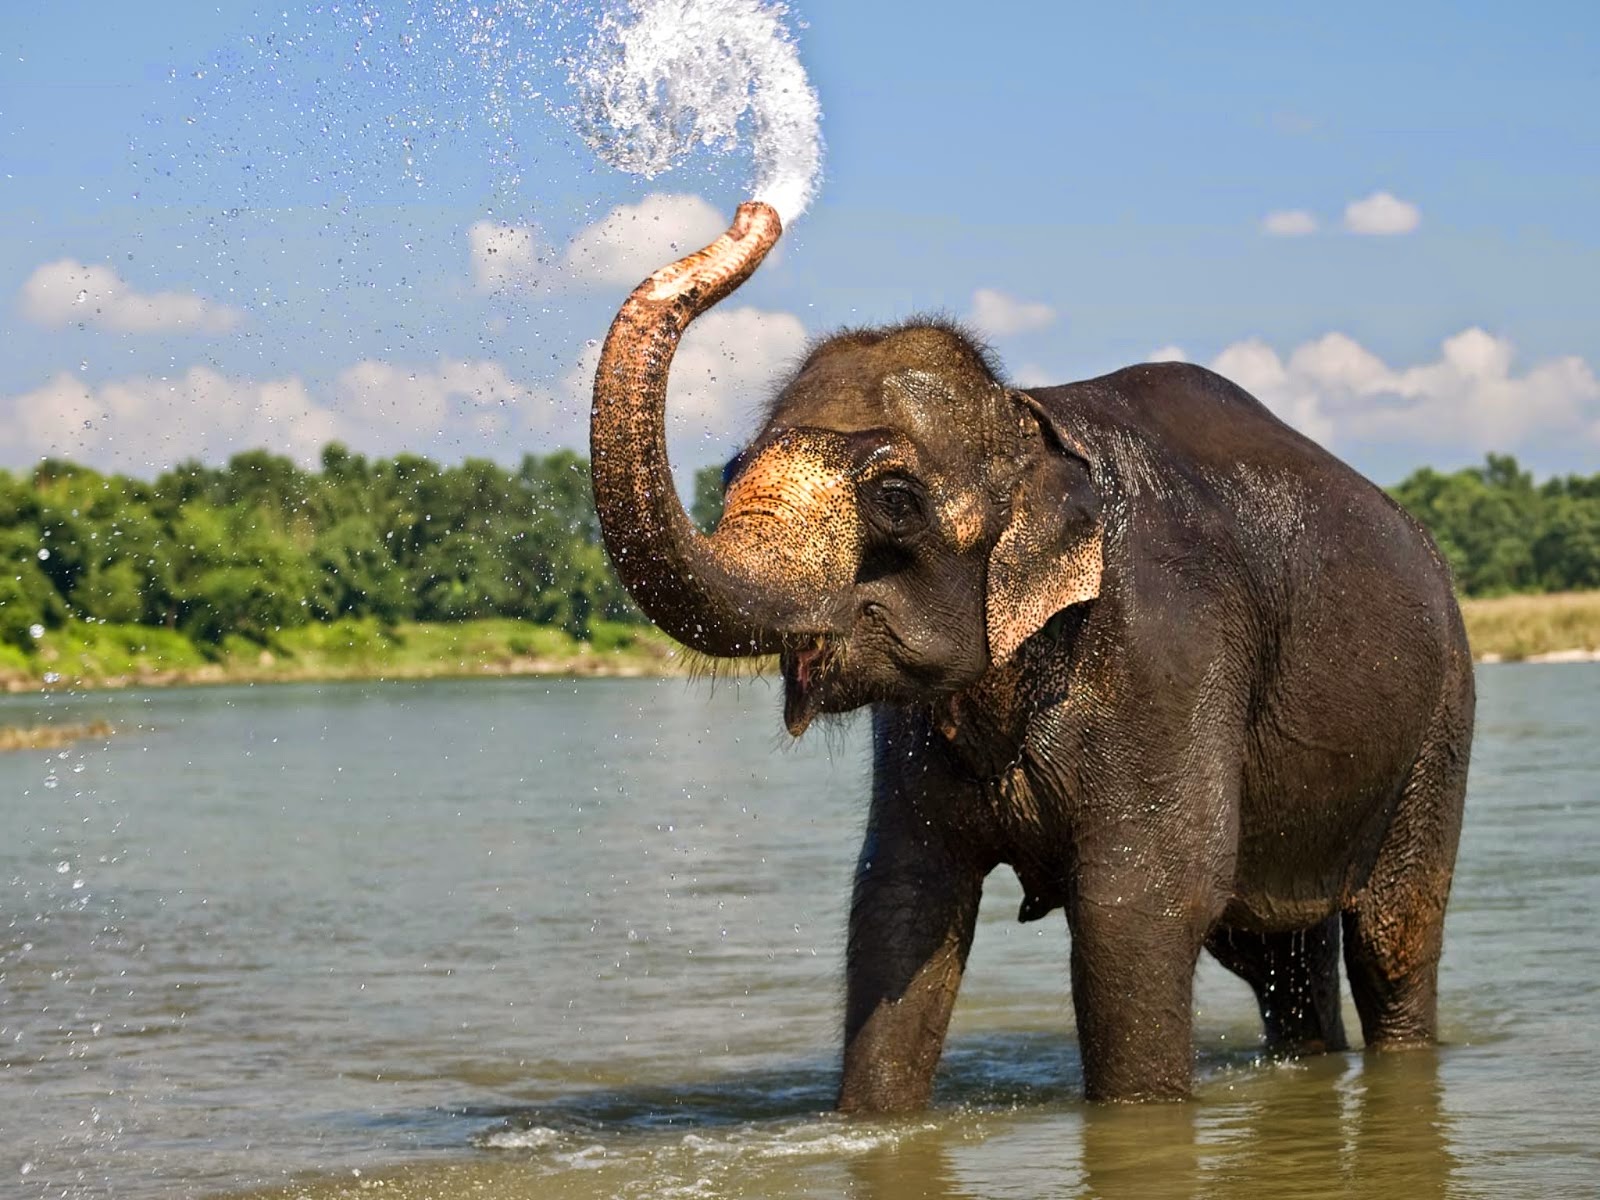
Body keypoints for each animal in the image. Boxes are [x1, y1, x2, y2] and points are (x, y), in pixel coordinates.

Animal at [589, 202, 1473, 1111]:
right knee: (1274, 954)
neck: (1029, 419)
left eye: (896, 499)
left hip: (1442, 717)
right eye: (730, 468)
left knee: (1392, 939)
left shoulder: (1169, 651)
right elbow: (901, 900)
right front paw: (872, 1121)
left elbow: (1139, 907)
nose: (754, 212)